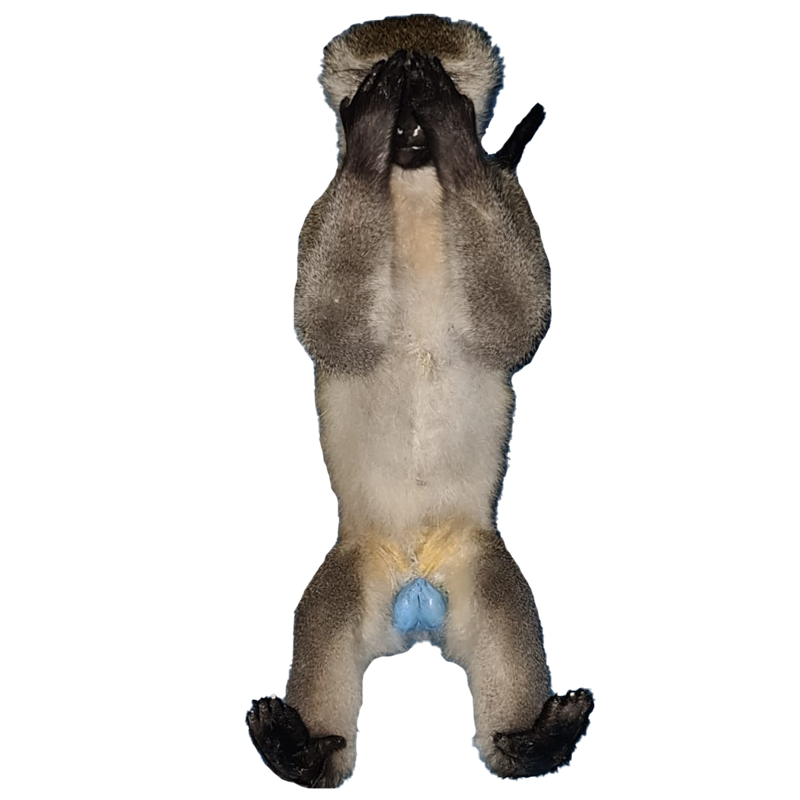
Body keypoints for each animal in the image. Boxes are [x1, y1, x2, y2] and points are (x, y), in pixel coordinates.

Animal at [246, 16, 594, 788]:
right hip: (363, 559)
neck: (411, 198)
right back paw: (299, 752)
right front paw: (365, 147)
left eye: (433, 91)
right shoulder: (322, 213)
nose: (405, 130)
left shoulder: (508, 200)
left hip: (464, 553)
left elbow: (514, 325)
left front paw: (465, 146)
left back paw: (531, 743)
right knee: (331, 610)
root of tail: (415, 588)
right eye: (382, 89)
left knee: (496, 592)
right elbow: (335, 336)